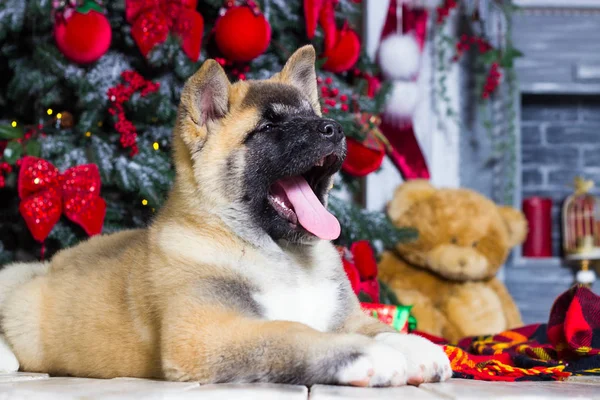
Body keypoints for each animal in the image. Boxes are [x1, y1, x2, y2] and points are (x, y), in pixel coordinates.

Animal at [0, 47, 450, 388]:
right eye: (268, 127)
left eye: (310, 114)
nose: (335, 129)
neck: (284, 257)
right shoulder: (205, 333)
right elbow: (291, 331)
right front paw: (369, 355)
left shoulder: (346, 315)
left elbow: (379, 325)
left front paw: (418, 348)